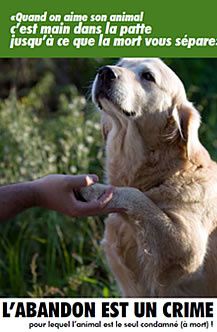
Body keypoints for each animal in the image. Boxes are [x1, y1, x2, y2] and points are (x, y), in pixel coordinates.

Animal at [80, 58, 217, 296]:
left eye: (148, 76)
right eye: (120, 63)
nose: (105, 72)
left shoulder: (187, 246)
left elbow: (137, 197)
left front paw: (95, 189)